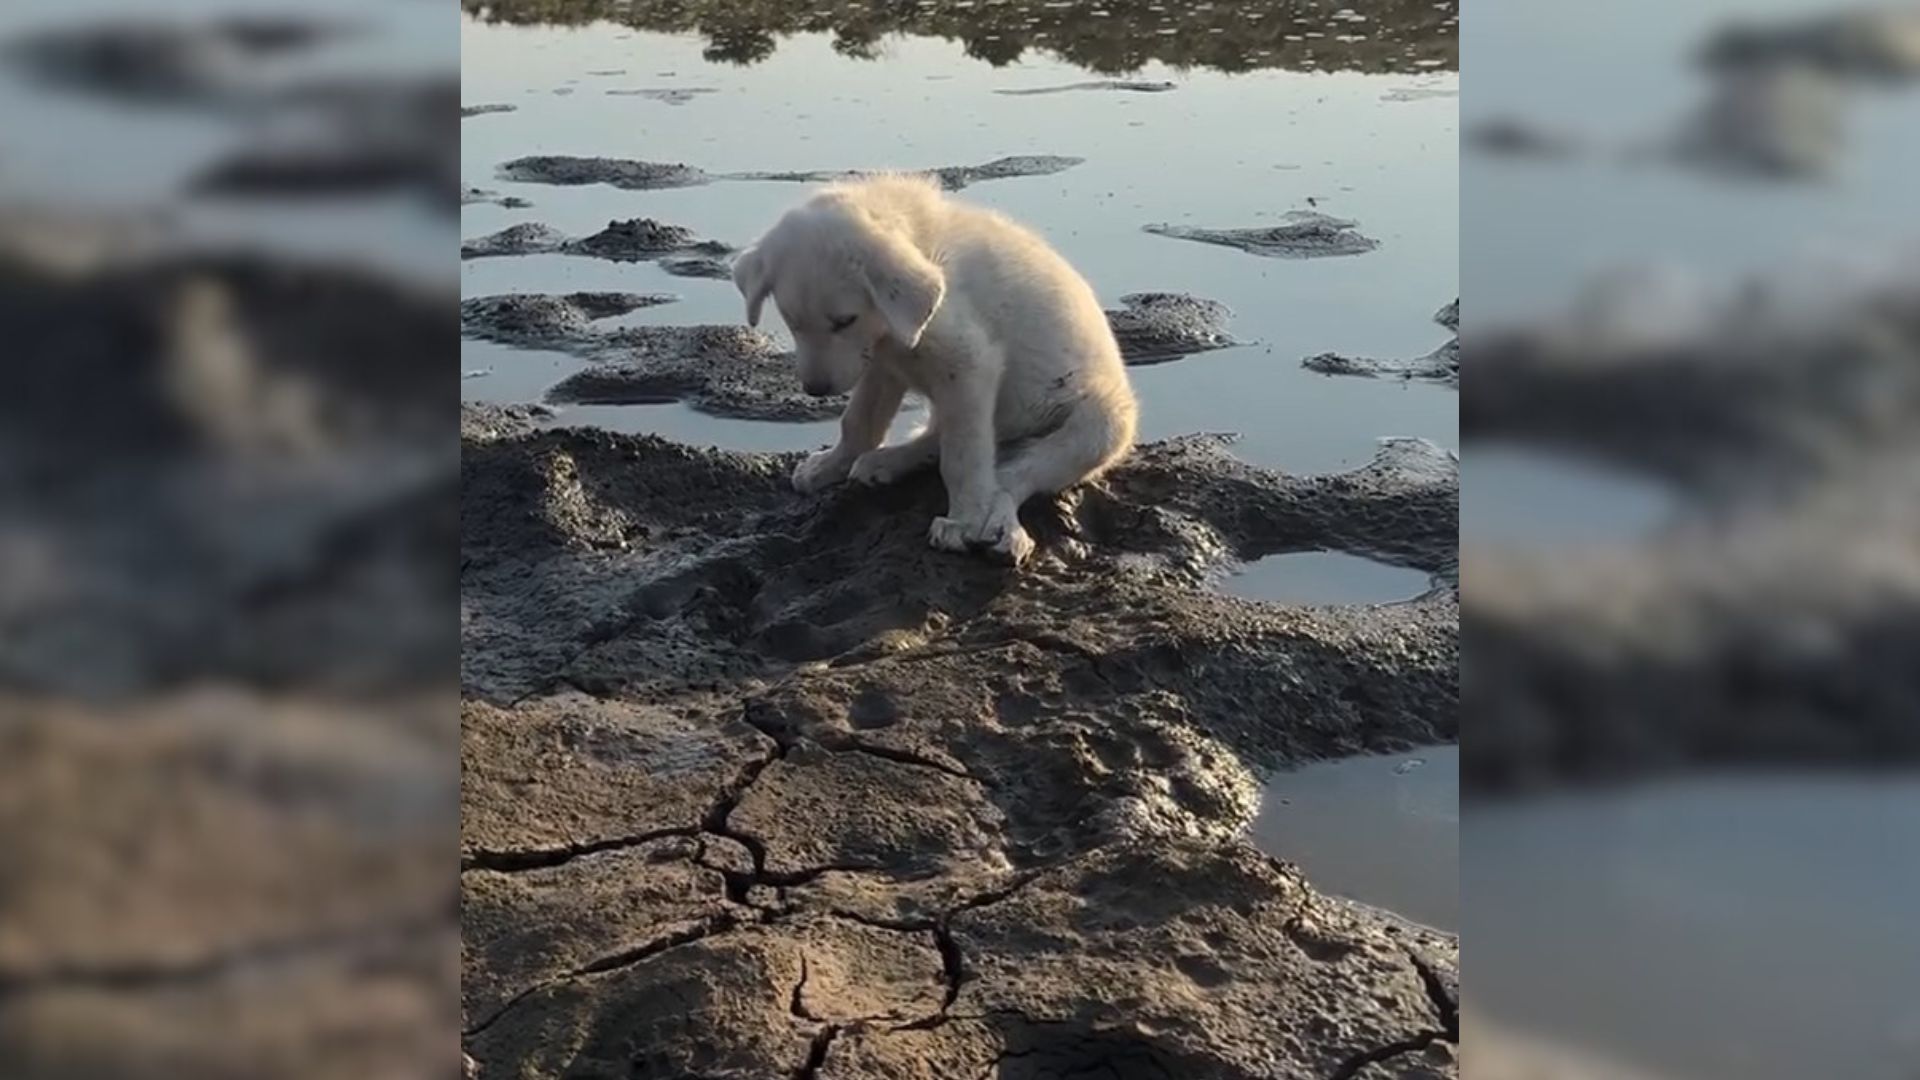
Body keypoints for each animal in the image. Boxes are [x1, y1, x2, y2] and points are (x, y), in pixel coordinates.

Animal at [725, 171, 1128, 557]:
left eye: (844, 321)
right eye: (792, 322)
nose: (815, 389)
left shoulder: (969, 364)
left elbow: (962, 456)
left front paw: (966, 521)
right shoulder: (882, 363)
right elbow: (860, 420)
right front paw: (831, 465)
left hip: (1100, 425)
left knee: (1011, 476)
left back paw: (1002, 527)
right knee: (946, 440)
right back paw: (886, 462)